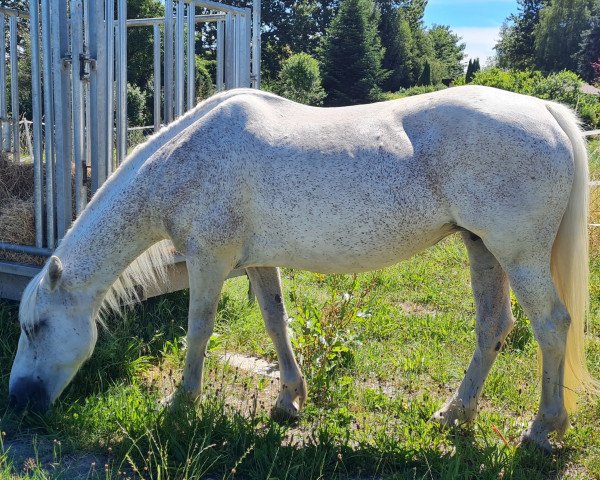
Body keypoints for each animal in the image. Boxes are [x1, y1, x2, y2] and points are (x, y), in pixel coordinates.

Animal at [8, 85, 596, 450]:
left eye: (35, 327)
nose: (18, 402)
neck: (187, 159)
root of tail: (546, 110)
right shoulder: (257, 262)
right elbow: (276, 324)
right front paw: (289, 399)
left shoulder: (209, 259)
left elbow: (198, 332)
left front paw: (181, 403)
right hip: (483, 248)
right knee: (493, 327)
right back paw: (455, 414)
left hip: (518, 255)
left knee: (551, 326)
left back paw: (543, 429)